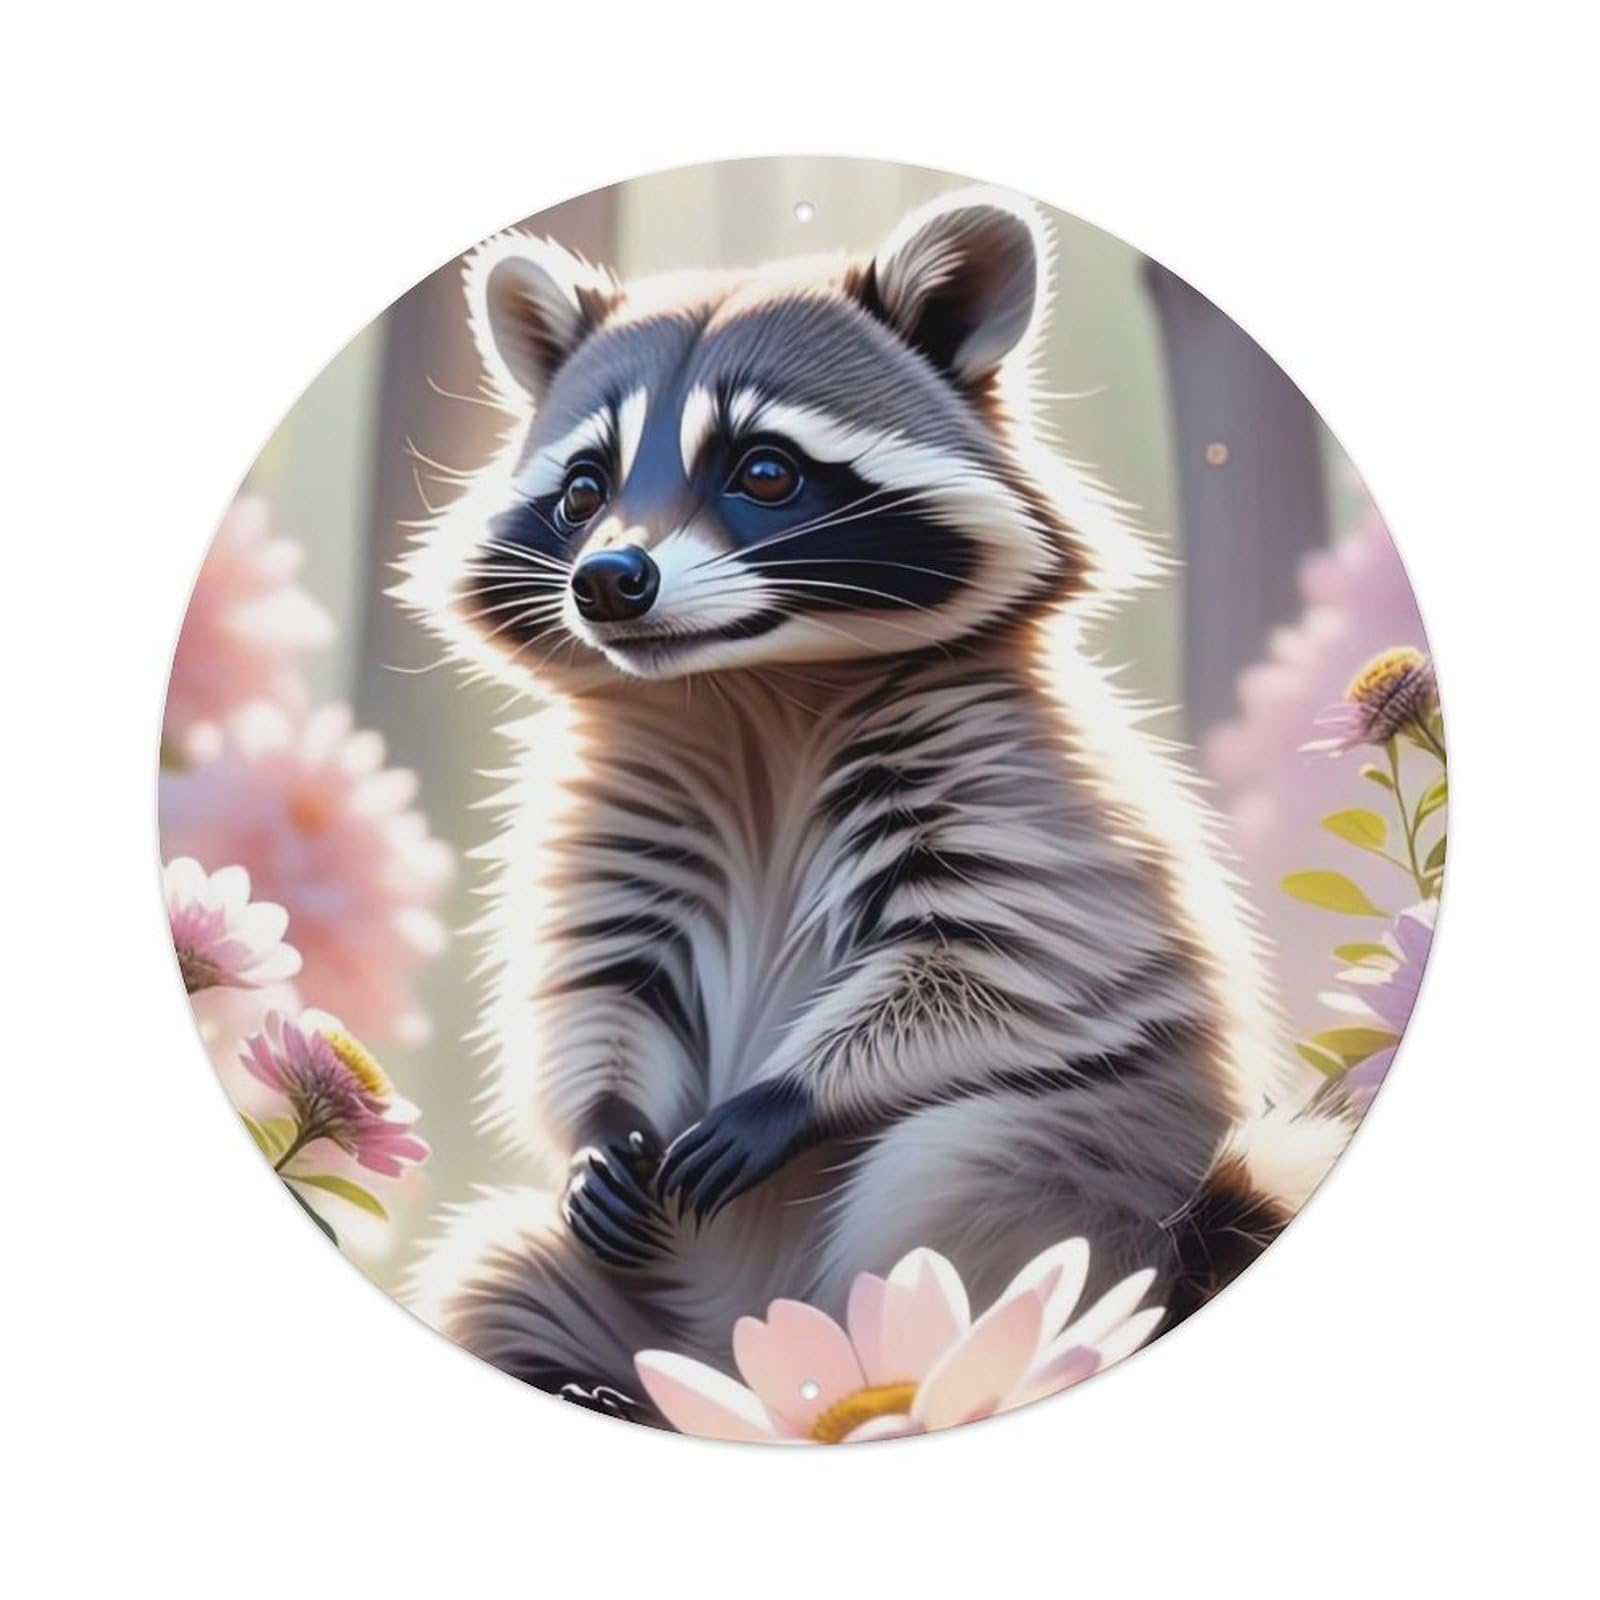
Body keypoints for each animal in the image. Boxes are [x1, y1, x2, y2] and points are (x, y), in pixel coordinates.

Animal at [401, 187, 1350, 1422]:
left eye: (763, 471)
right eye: (582, 491)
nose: (609, 581)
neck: (747, 691)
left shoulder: (1010, 787)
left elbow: (996, 961)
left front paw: (790, 1090)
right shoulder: (616, 816)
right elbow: (593, 983)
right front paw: (602, 1127)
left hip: (1080, 1170)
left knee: (949, 1190)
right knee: (493, 1270)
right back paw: (595, 1384)